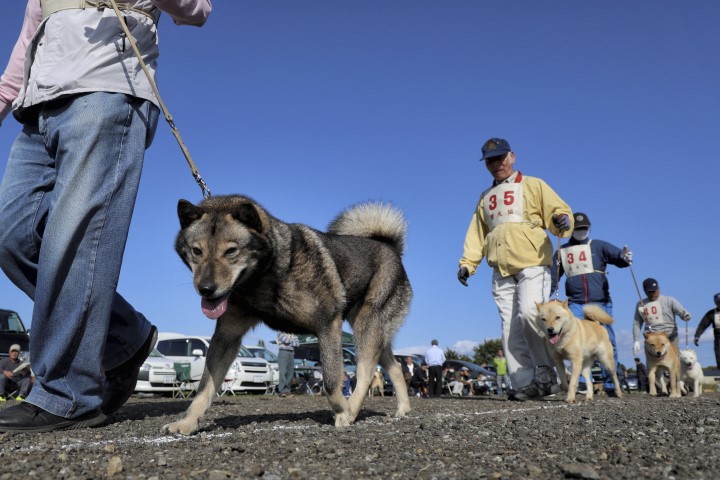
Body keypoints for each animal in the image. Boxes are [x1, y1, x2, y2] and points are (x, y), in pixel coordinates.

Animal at [162, 194, 410, 436]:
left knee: (366, 374)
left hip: (367, 328)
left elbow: (331, 381)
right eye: (197, 251)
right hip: (374, 334)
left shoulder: (328, 325)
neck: (265, 275)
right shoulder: (226, 336)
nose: (205, 289)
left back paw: (352, 411)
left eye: (231, 251)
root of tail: (389, 247)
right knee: (395, 367)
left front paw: (342, 413)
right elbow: (205, 386)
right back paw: (403, 409)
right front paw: (187, 422)